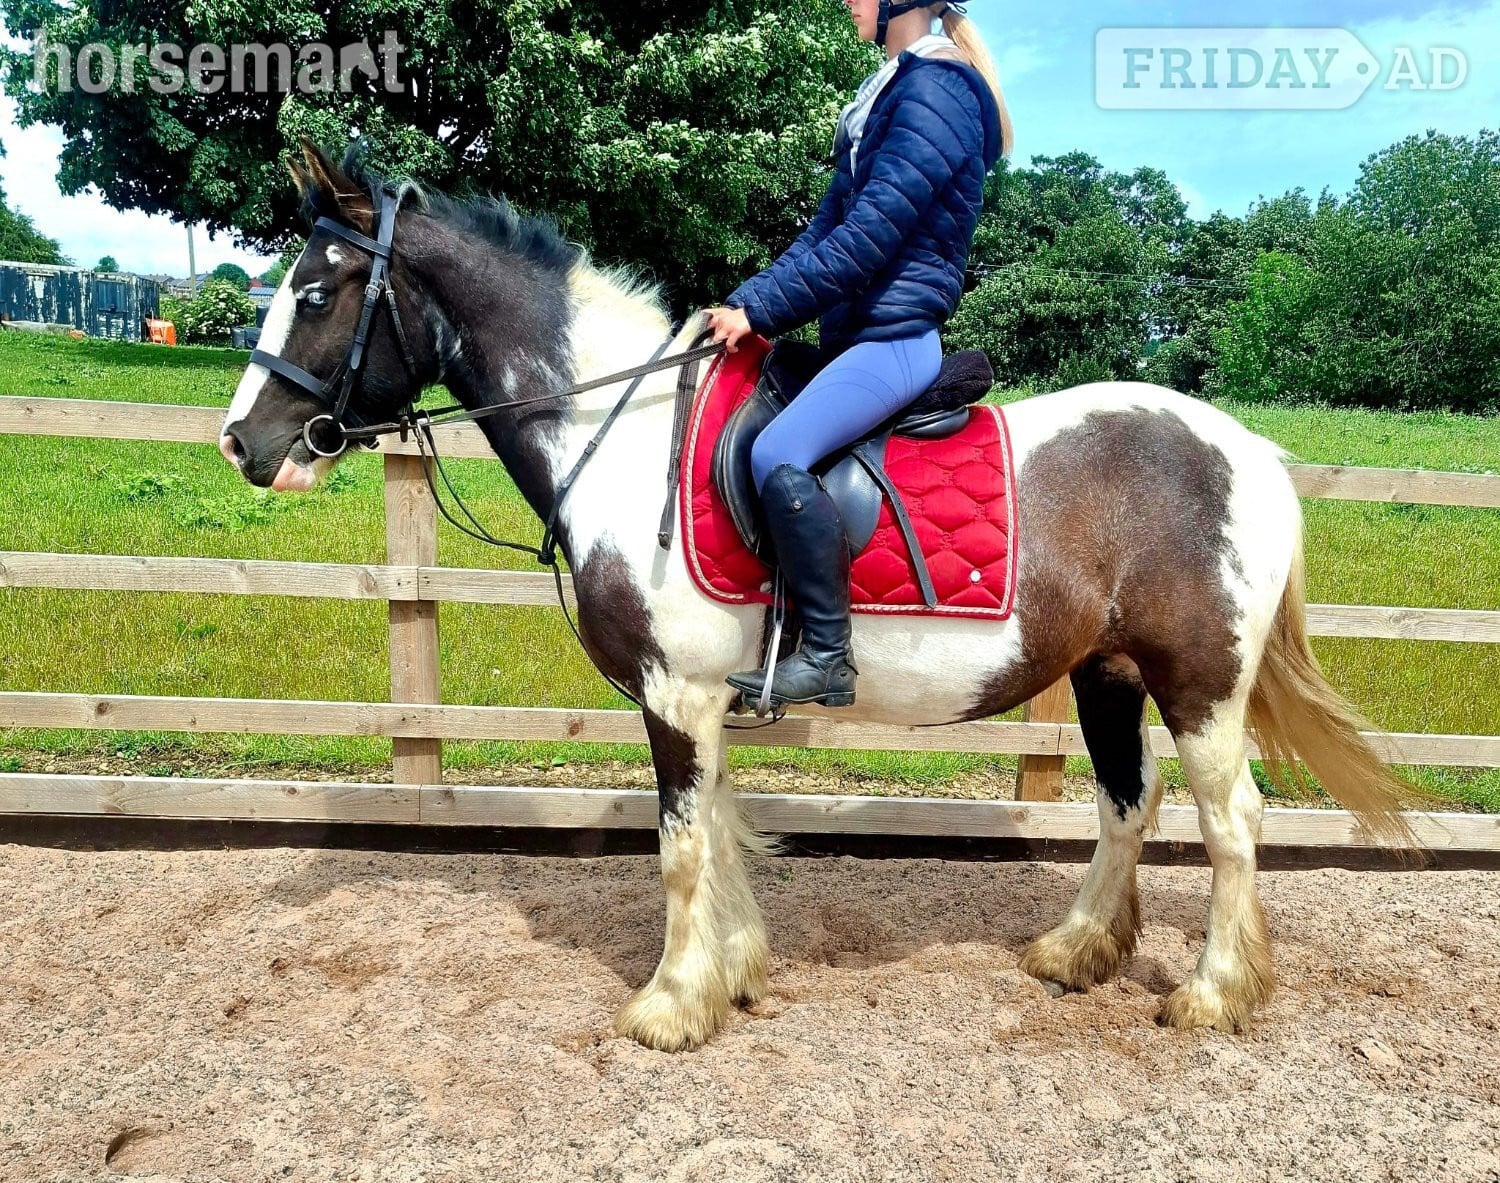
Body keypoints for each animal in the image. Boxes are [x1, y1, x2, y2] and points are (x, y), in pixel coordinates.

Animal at [219, 141, 1414, 1051]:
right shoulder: (704, 697)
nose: (242, 443)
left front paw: (671, 1004)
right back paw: (1077, 951)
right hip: (1107, 675)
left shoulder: (675, 695)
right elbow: (722, 825)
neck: (624, 435)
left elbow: (682, 843)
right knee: (1130, 800)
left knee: (1232, 821)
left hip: (1199, 680)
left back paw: (1211, 993)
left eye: (316, 292)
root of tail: (1251, 452)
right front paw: (735, 970)